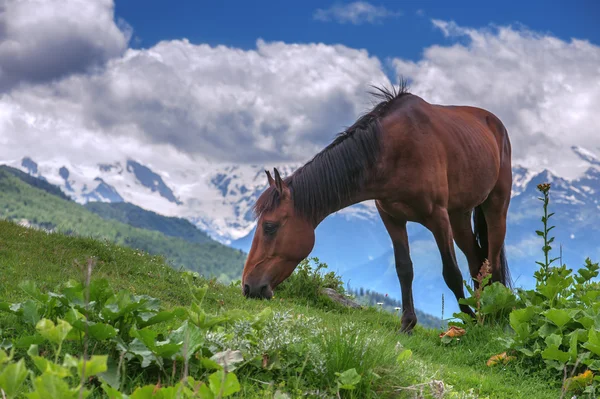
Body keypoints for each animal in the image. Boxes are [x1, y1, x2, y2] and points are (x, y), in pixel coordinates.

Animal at [240, 80, 510, 332]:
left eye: (270, 227)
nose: (248, 286)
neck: (393, 149)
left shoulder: (438, 218)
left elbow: (451, 273)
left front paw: (469, 321)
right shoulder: (392, 217)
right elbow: (404, 268)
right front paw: (407, 324)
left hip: (494, 206)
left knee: (492, 262)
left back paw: (495, 318)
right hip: (459, 216)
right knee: (477, 261)